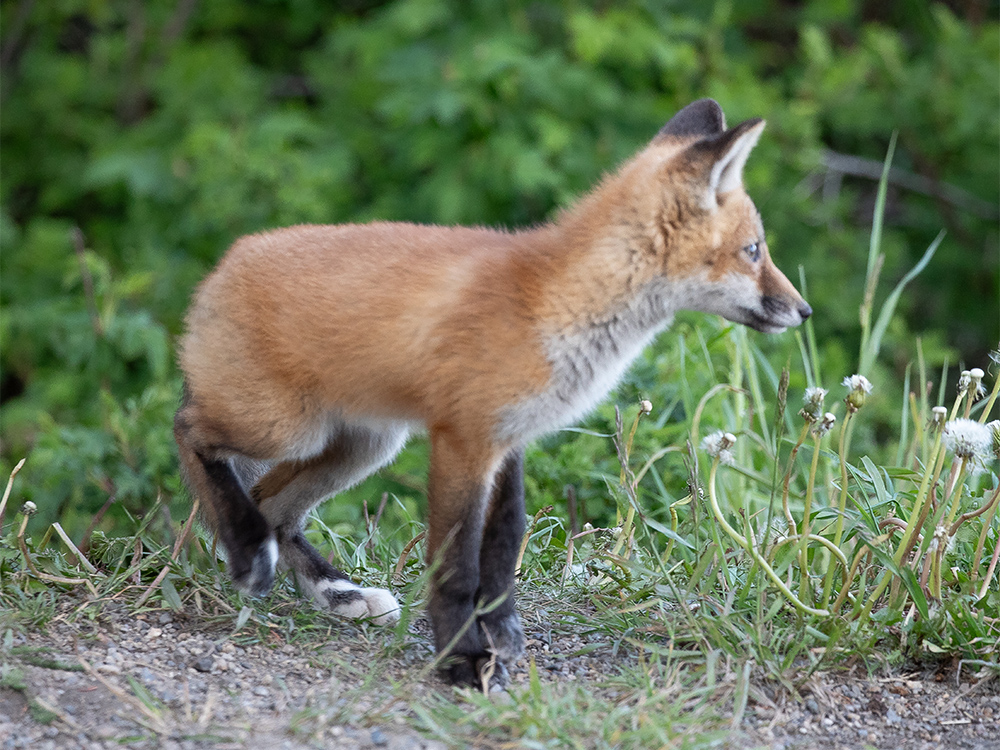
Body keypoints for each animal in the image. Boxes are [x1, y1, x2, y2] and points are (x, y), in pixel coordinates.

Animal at [173, 99, 811, 689]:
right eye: (754, 251)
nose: (803, 311)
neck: (556, 303)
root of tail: (222, 265)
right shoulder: (465, 439)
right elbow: (457, 568)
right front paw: (461, 661)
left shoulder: (510, 443)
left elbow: (502, 554)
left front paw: (502, 640)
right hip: (288, 428)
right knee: (191, 432)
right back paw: (248, 552)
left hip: (364, 445)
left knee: (272, 504)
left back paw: (334, 593)